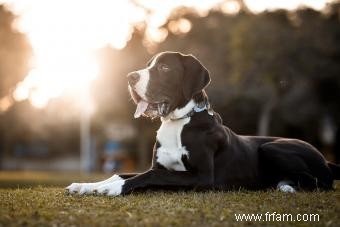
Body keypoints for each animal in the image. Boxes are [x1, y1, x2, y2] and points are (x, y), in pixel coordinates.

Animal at [66, 51, 340, 195]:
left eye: (164, 67)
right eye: (148, 65)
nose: (130, 77)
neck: (179, 121)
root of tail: (326, 160)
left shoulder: (202, 177)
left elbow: (149, 175)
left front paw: (113, 189)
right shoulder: (162, 167)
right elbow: (122, 172)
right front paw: (86, 185)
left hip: (272, 147)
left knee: (321, 182)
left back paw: (286, 186)